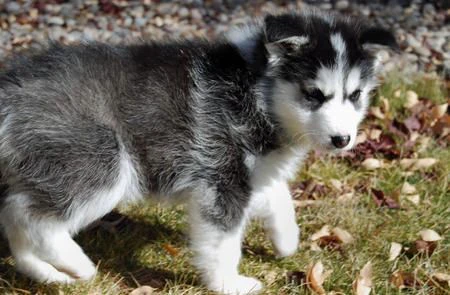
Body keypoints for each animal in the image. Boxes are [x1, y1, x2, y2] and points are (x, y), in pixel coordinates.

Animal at [0, 11, 396, 295]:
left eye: (355, 95)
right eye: (314, 94)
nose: (342, 139)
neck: (258, 92)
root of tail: (12, 82)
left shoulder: (248, 173)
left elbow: (278, 196)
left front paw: (286, 240)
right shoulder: (222, 178)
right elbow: (224, 242)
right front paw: (228, 284)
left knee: (16, 217)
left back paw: (47, 274)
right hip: (101, 162)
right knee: (28, 216)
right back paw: (78, 263)